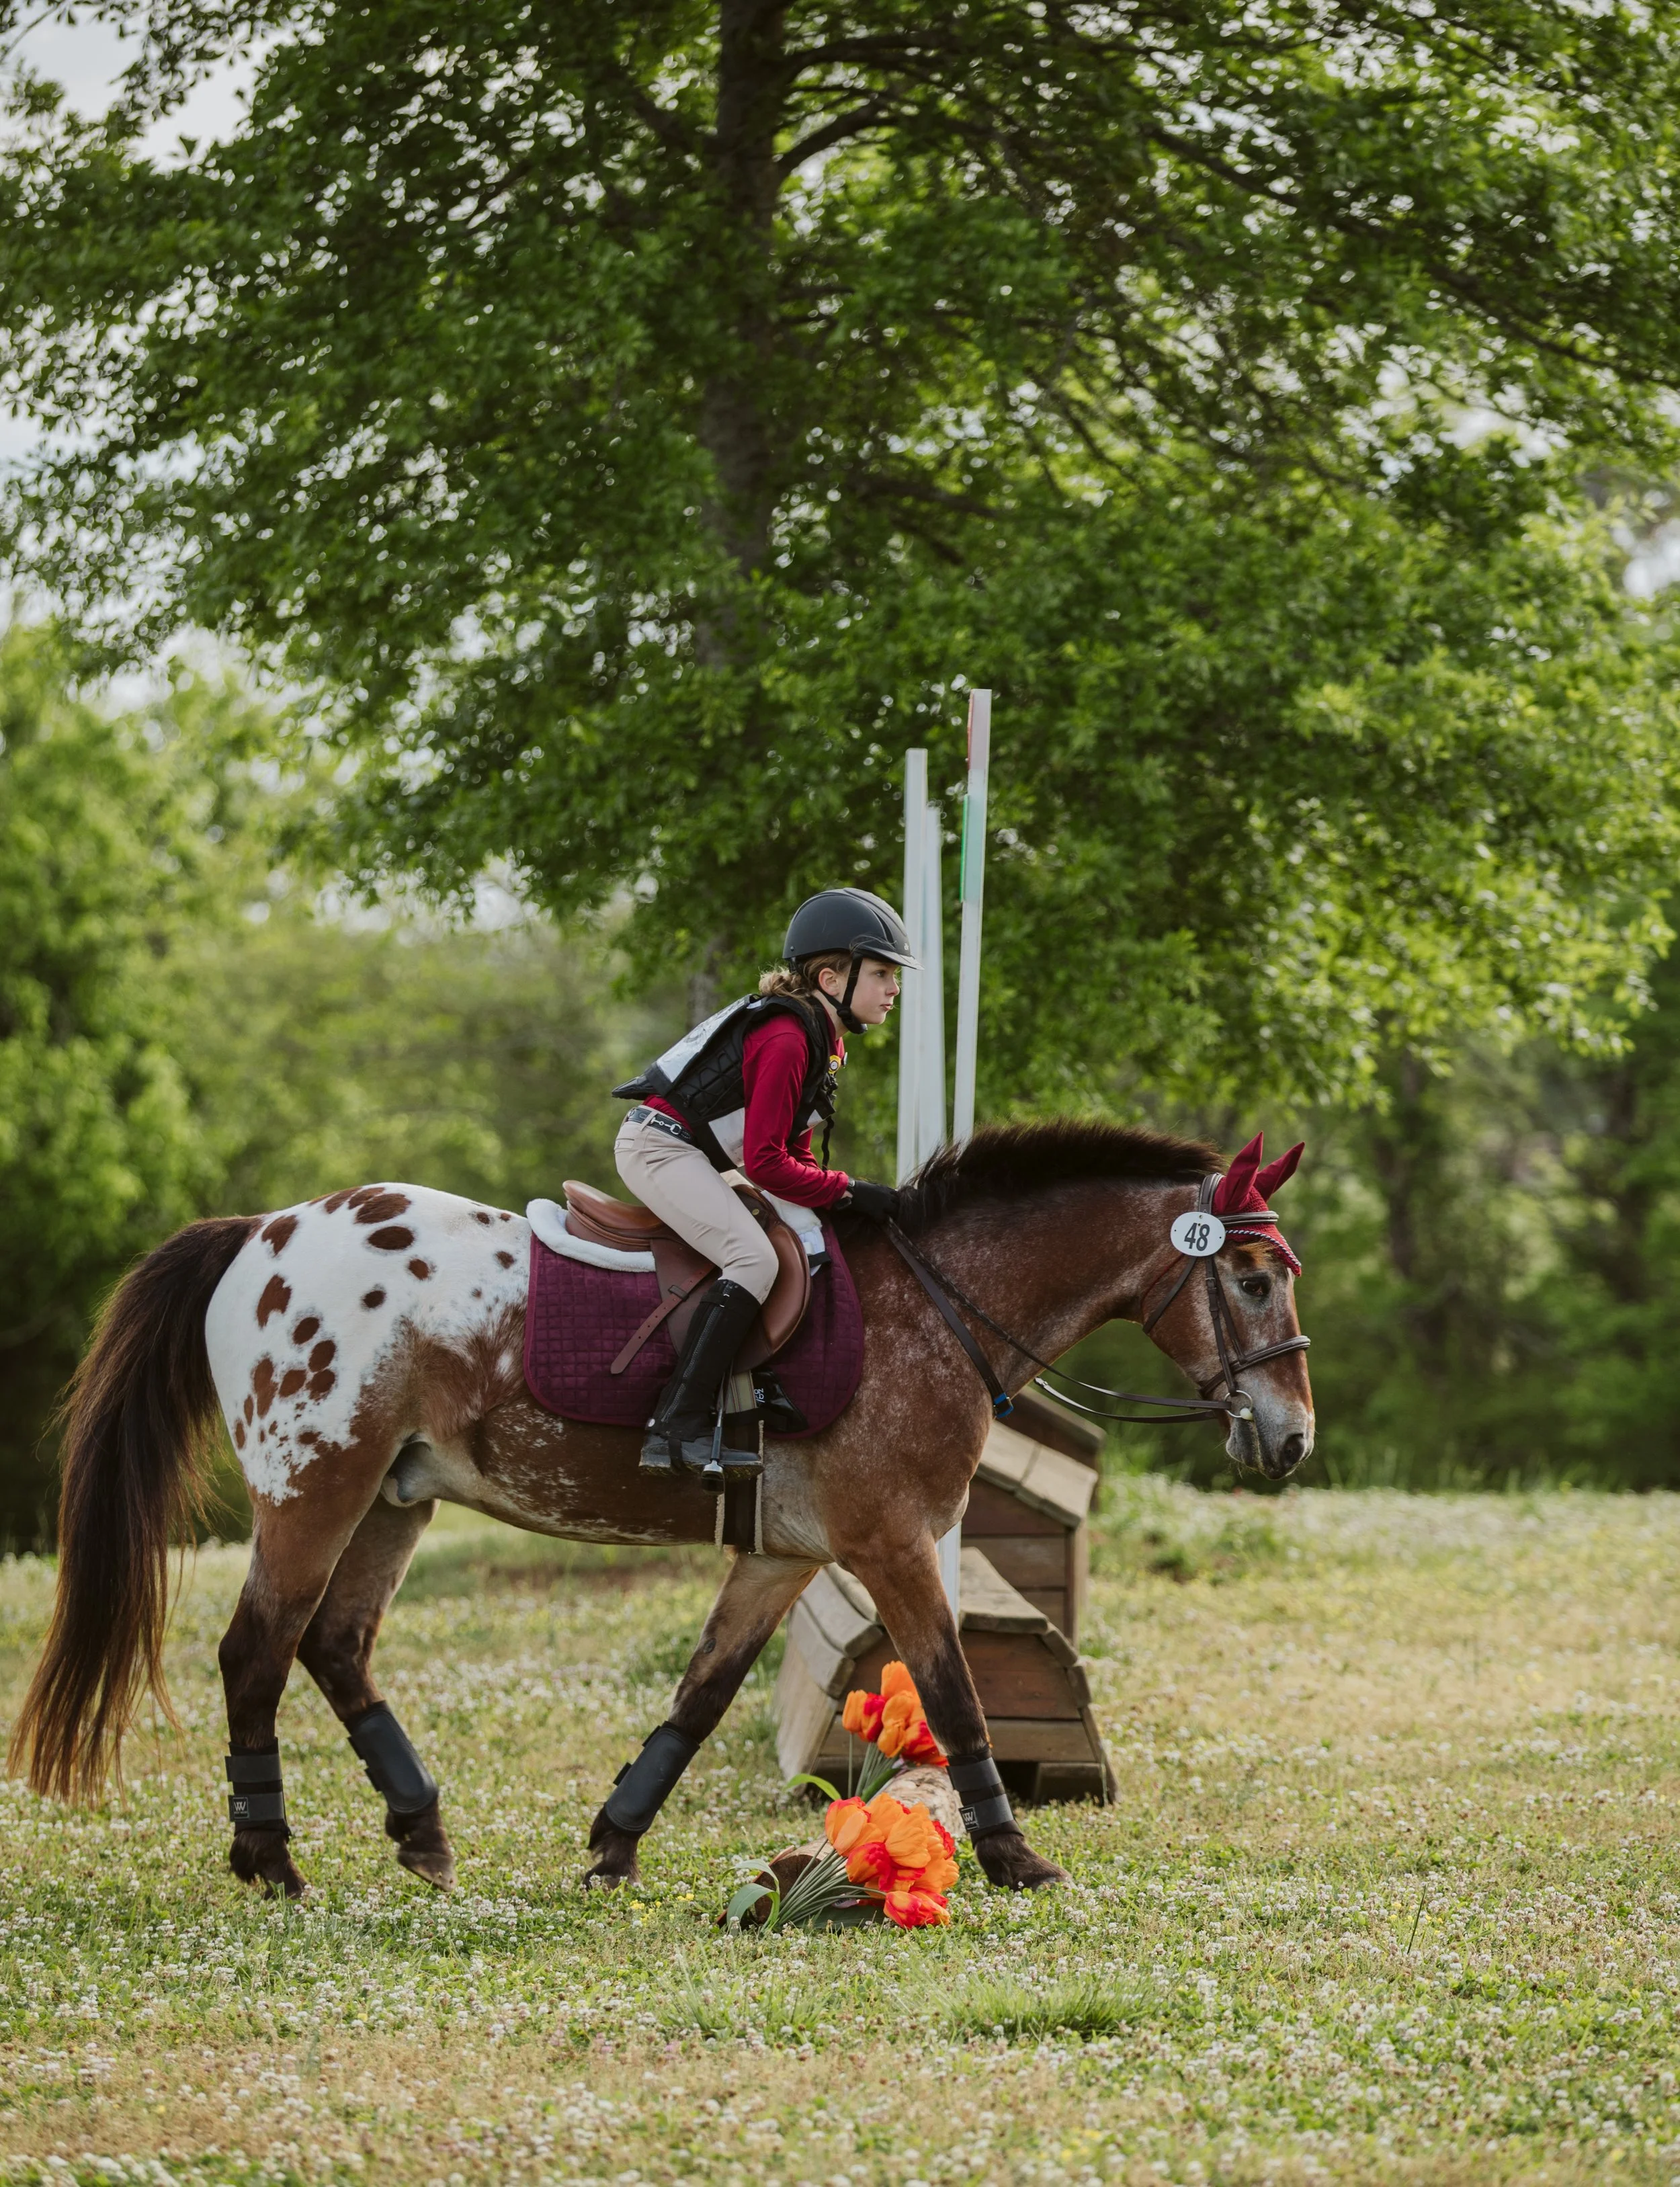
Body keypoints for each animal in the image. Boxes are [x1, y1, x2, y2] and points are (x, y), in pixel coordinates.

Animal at [9, 1119, 1314, 1899]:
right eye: (1253, 1278)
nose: (1293, 1436)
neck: (942, 1303)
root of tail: (262, 1235)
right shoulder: (893, 1543)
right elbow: (955, 1694)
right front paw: (1013, 1851)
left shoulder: (789, 1552)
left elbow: (702, 1691)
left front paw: (614, 1840)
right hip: (311, 1487)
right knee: (257, 1649)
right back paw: (268, 1855)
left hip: (394, 1494)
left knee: (335, 1645)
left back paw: (422, 1830)